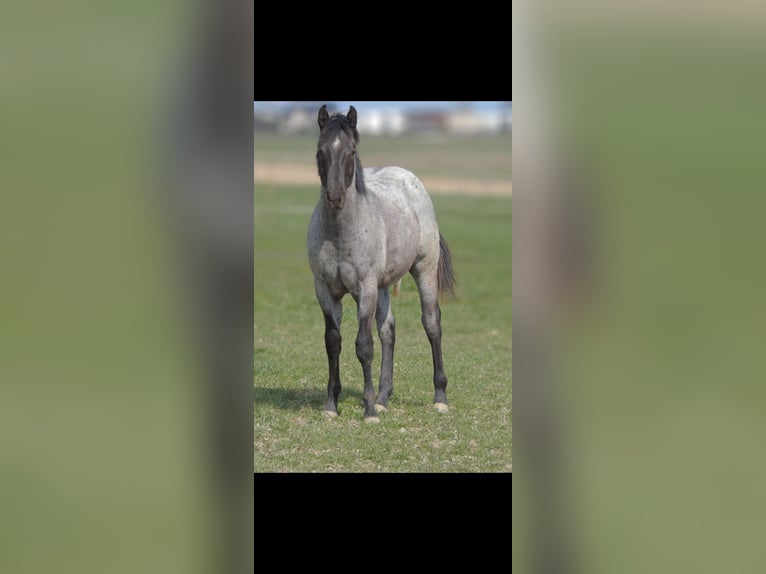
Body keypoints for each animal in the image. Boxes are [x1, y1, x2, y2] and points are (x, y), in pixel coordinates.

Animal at [307, 104, 456, 422]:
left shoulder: (365, 288)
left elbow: (364, 345)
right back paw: (384, 397)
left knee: (432, 324)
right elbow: (333, 341)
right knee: (388, 330)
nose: (335, 196)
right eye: (319, 151)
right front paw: (331, 405)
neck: (339, 232)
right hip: (384, 285)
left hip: (423, 270)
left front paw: (368, 409)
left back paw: (439, 397)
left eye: (351, 151)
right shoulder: (324, 289)